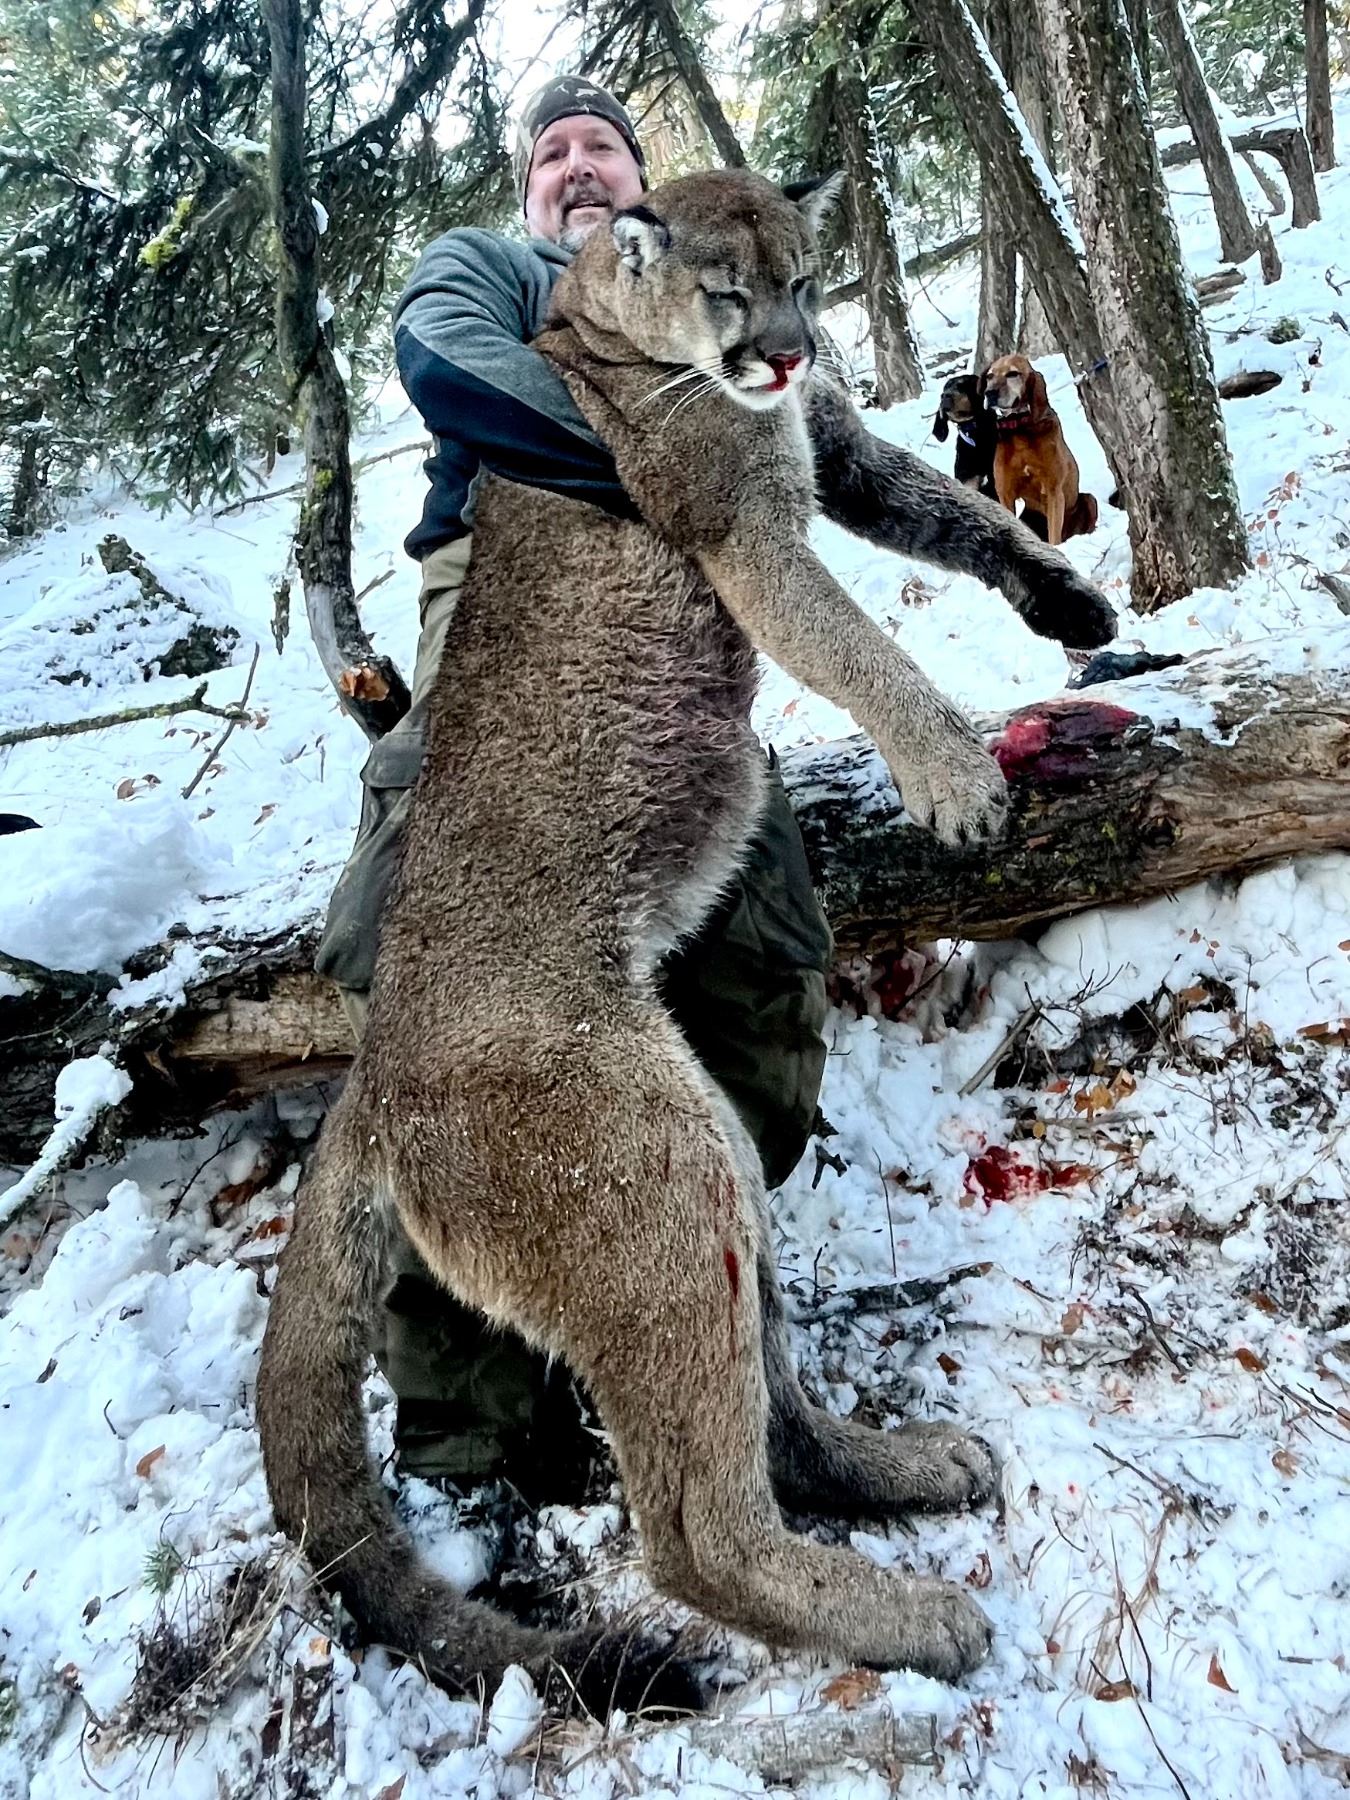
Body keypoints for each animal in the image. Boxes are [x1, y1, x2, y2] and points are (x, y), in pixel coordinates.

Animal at [982, 353, 1098, 547]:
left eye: (1013, 374)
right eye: (990, 376)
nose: (989, 393)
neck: (1020, 428)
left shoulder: (1054, 491)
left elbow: (1054, 536)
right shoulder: (1005, 493)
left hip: (1089, 501)